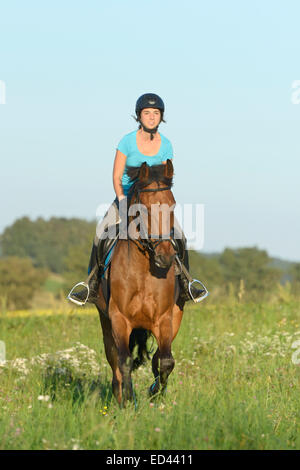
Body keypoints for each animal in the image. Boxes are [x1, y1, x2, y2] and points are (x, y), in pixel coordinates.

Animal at [94, 160, 185, 406]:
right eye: (142, 209)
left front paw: (155, 393)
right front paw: (128, 401)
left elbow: (165, 361)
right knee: (115, 362)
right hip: (106, 324)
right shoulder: (119, 319)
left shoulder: (165, 318)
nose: (165, 257)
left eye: (173, 205)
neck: (144, 272)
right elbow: (124, 362)